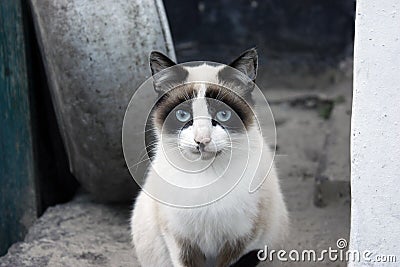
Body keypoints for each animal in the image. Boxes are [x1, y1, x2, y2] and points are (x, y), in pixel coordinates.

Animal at [130, 48, 288, 267]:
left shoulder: (240, 241)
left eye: (223, 115)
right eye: (182, 115)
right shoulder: (181, 243)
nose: (202, 140)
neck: (206, 176)